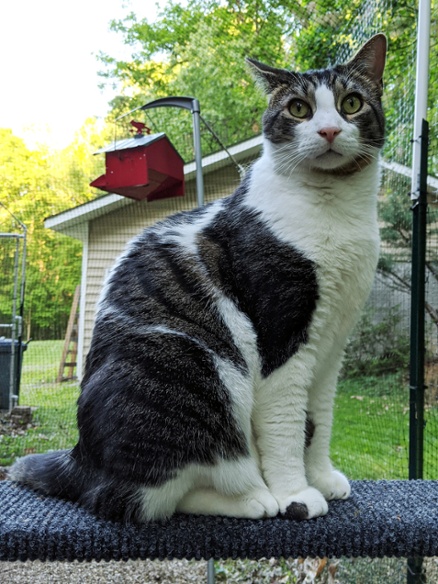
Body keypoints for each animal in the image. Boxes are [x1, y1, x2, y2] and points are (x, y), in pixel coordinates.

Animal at [8, 34, 386, 524]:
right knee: (138, 496)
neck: (337, 212)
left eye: (351, 103)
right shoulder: (282, 336)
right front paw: (295, 494)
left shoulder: (331, 344)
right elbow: (286, 426)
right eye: (299, 109)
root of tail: (80, 458)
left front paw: (321, 477)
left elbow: (318, 420)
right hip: (196, 368)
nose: (328, 131)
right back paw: (256, 497)